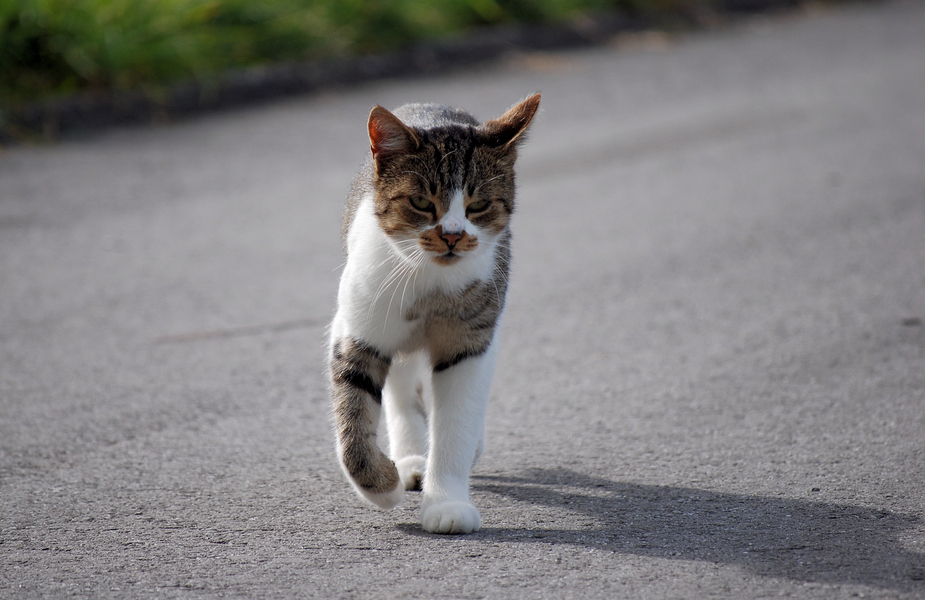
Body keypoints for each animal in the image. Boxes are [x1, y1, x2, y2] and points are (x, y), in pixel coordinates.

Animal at [328, 95, 540, 536]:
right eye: (423, 203)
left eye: (478, 205)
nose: (453, 235)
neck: (428, 281)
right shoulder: (356, 330)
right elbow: (352, 425)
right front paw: (384, 486)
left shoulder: (472, 342)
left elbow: (456, 424)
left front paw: (447, 503)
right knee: (399, 386)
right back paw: (408, 460)